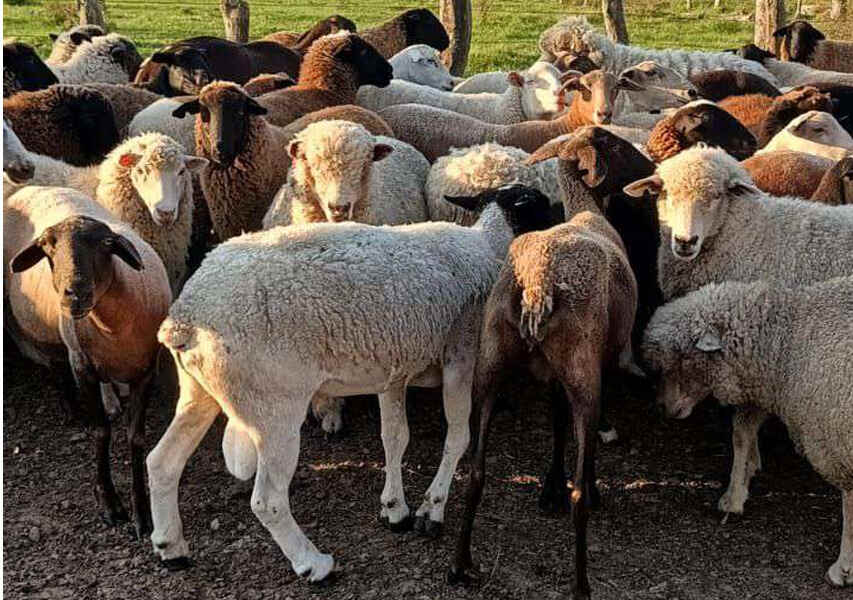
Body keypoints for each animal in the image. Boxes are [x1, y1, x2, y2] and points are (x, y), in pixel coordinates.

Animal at [4, 185, 171, 540]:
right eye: (48, 247)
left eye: (107, 244)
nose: (75, 293)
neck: (113, 325)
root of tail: (30, 186)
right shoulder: (83, 367)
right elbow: (100, 432)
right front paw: (110, 504)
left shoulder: (146, 370)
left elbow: (135, 438)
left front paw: (142, 513)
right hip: (49, 331)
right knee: (55, 363)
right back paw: (71, 410)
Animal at [147, 184, 553, 578]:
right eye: (544, 206)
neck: (487, 246)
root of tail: (185, 319)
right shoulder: (460, 357)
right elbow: (457, 438)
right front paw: (432, 510)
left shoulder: (394, 371)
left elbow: (395, 438)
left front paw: (395, 509)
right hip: (272, 404)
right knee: (268, 501)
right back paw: (312, 563)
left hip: (199, 391)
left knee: (161, 463)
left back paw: (171, 549)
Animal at [449, 135, 637, 600]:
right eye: (618, 146)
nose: (651, 170)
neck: (587, 211)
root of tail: (536, 284)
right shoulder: (600, 362)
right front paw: (574, 483)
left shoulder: (554, 375)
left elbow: (555, 422)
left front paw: (549, 484)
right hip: (582, 368)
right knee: (579, 497)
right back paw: (581, 583)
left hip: (490, 364)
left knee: (476, 470)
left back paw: (461, 564)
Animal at [641, 276, 853, 588]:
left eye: (682, 358)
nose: (661, 407)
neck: (786, 343)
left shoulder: (838, 445)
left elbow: (849, 506)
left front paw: (843, 568)